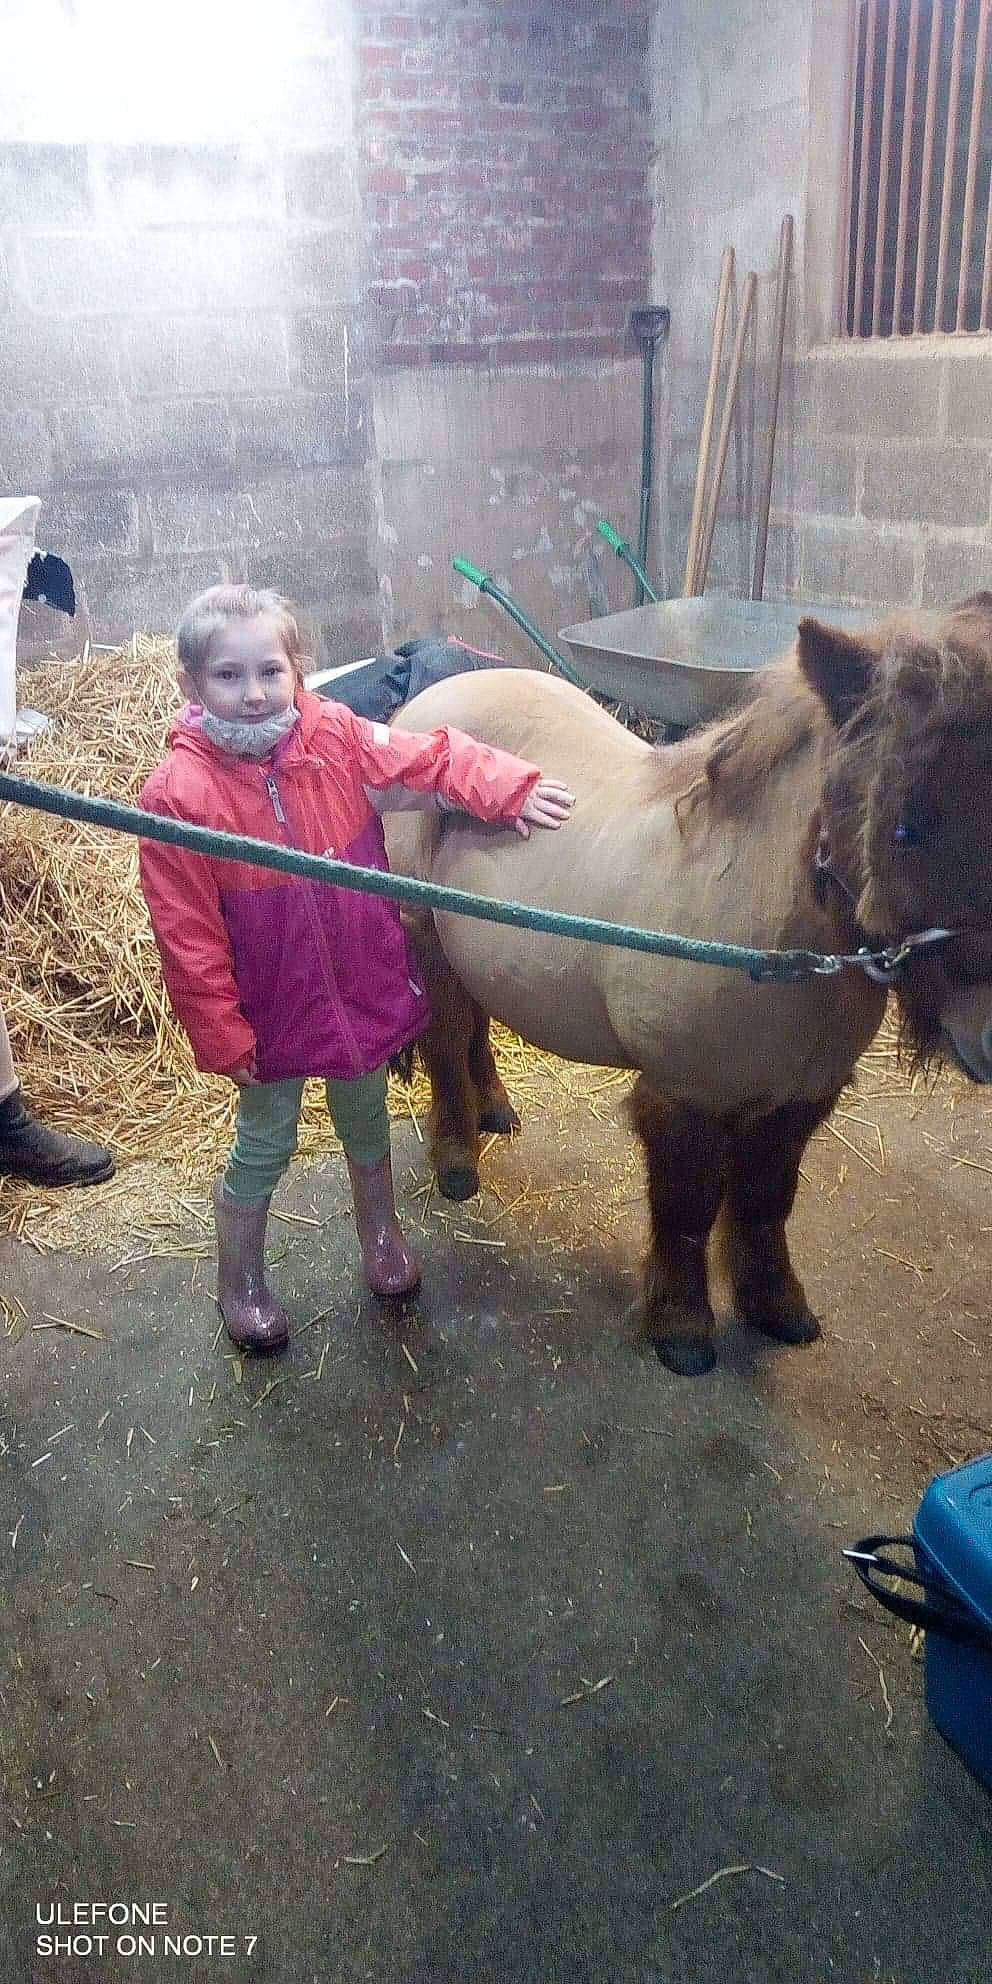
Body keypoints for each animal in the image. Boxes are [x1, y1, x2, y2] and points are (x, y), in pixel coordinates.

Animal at [386, 594, 992, 1375]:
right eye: (904, 829)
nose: (989, 1036)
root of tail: (430, 701)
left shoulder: (801, 1099)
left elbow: (766, 1201)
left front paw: (776, 1306)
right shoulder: (687, 1098)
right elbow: (687, 1211)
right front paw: (680, 1326)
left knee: (477, 1025)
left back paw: (496, 1110)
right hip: (424, 934)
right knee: (446, 1038)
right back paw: (459, 1157)